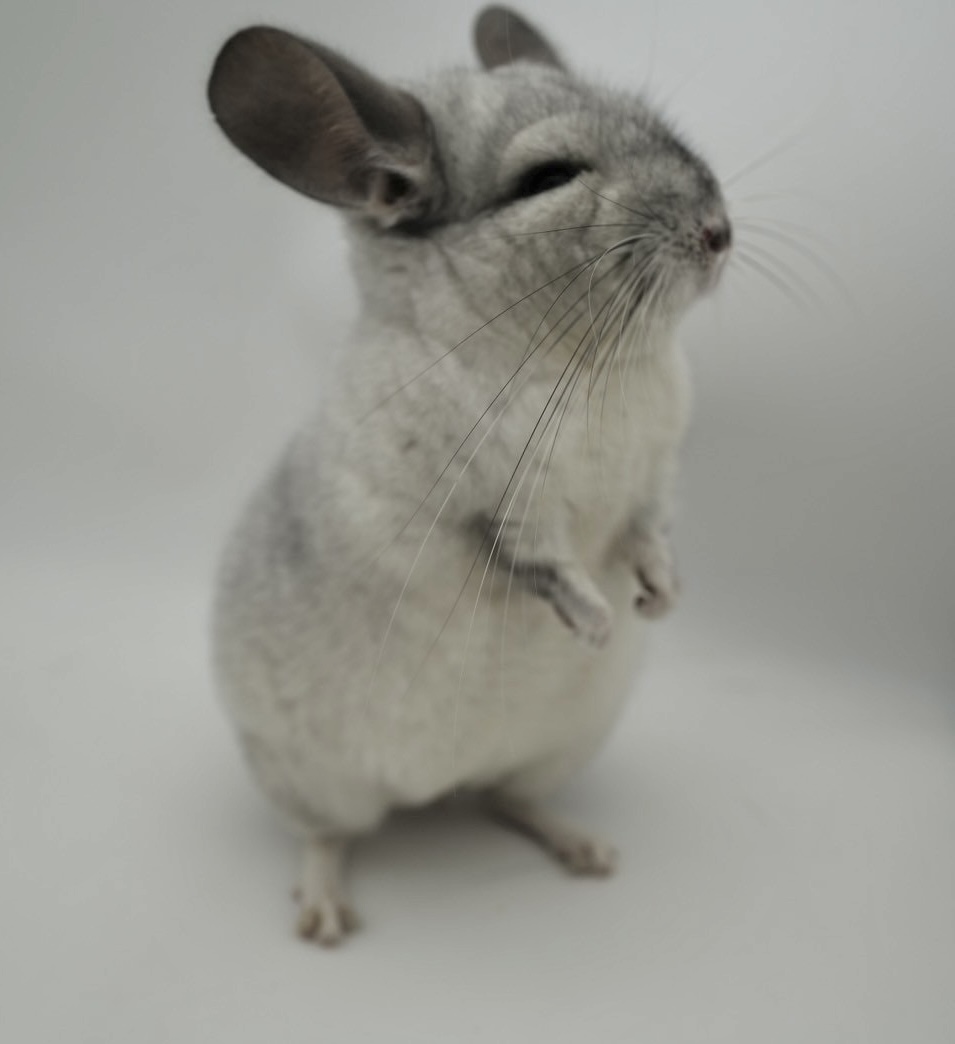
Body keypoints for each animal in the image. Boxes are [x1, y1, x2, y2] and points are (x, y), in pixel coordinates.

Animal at [208, 5, 731, 946]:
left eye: (652, 125)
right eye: (548, 176)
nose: (720, 231)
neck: (589, 364)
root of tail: (430, 790)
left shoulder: (653, 479)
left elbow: (645, 533)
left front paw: (662, 597)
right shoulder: (489, 508)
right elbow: (538, 564)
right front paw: (600, 623)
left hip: (552, 752)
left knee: (503, 802)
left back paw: (582, 847)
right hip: (307, 779)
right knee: (328, 836)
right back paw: (323, 911)